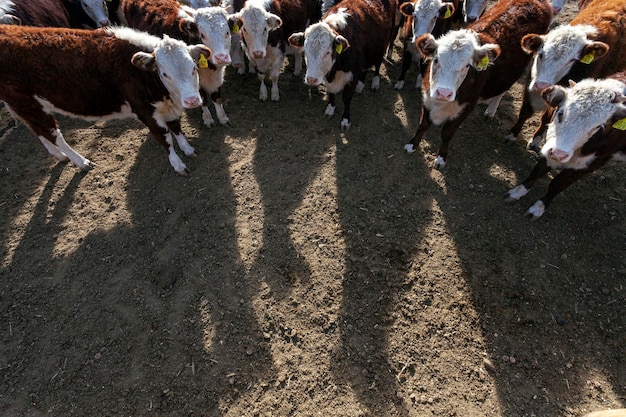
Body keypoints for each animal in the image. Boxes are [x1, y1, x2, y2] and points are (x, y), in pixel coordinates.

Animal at [0, 24, 211, 174]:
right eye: (165, 73)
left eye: (194, 67)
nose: (192, 100)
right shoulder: (145, 112)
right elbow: (165, 138)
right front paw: (177, 164)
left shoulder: (169, 107)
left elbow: (176, 128)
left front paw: (188, 149)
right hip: (28, 104)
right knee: (53, 134)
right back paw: (82, 162)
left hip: (24, 106)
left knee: (37, 131)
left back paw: (59, 156)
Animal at [286, 0, 394, 128]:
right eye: (305, 51)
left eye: (328, 52)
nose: (311, 79)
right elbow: (331, 92)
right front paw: (330, 109)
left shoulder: (353, 74)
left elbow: (346, 98)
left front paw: (345, 120)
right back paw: (360, 85)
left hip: (382, 47)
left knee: (377, 65)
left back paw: (375, 82)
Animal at [400, 0, 552, 167]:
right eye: (436, 59)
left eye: (467, 65)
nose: (443, 93)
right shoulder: (427, 96)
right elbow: (423, 124)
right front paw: (411, 145)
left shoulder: (466, 107)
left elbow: (447, 133)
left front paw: (441, 157)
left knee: (502, 90)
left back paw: (491, 110)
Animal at [502, 0, 624, 150]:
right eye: (540, 53)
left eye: (571, 60)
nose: (541, 85)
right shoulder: (530, 83)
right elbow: (525, 111)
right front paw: (512, 134)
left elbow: (546, 117)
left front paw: (536, 140)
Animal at [502, 73, 624, 219]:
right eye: (560, 113)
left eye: (598, 127)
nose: (559, 154)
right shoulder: (551, 145)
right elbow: (537, 171)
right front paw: (518, 191)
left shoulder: (592, 163)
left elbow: (558, 183)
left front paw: (538, 208)